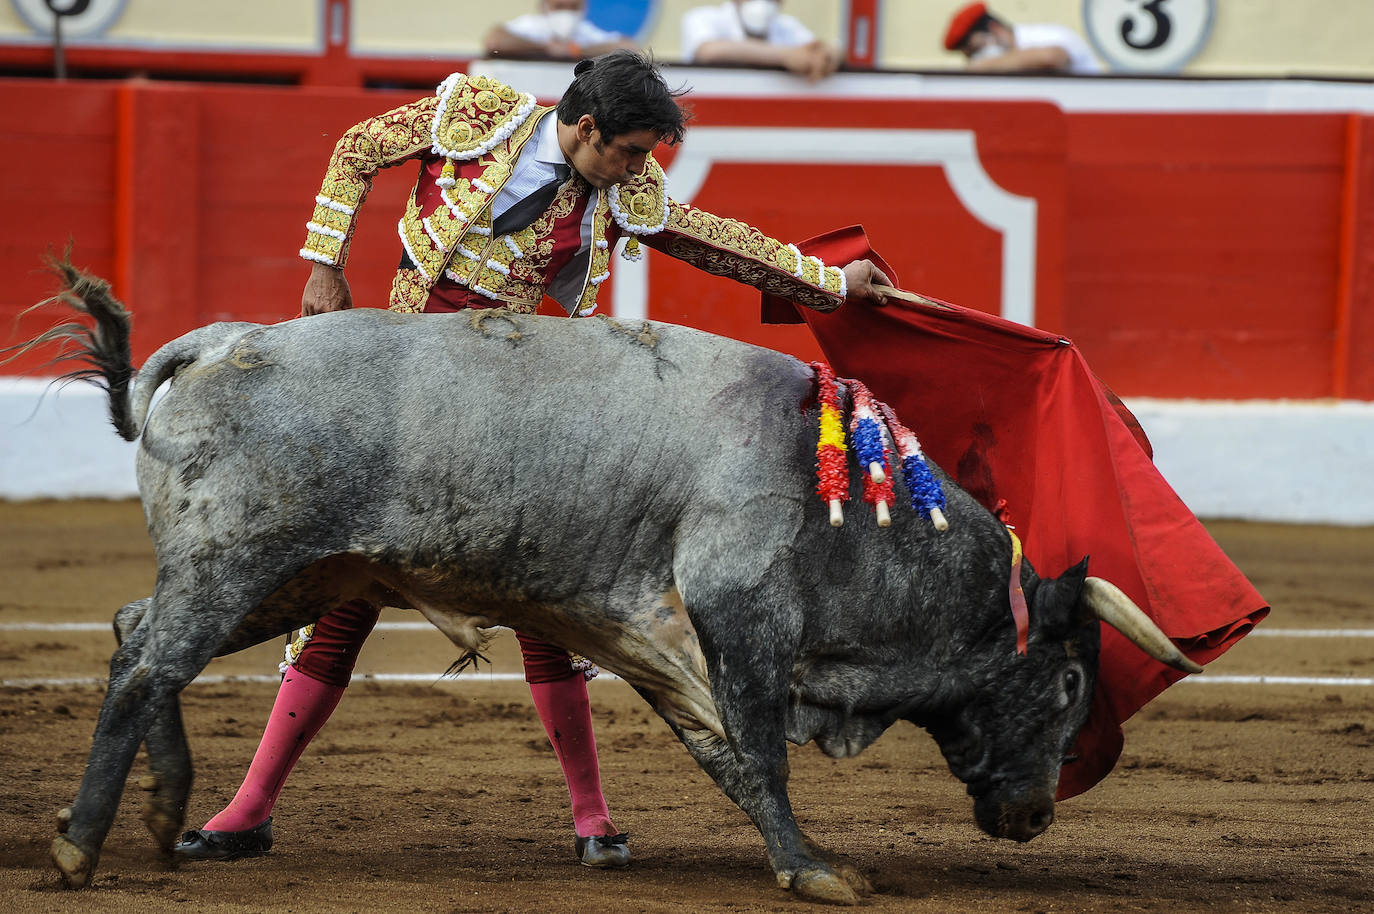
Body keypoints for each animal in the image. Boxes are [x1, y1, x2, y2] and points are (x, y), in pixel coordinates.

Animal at [26, 265, 1198, 907]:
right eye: (1068, 686)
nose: (1036, 814)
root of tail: (227, 340)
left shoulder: (656, 635)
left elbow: (723, 751)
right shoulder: (740, 613)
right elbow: (760, 749)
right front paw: (812, 868)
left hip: (286, 577)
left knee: (138, 635)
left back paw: (166, 813)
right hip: (243, 562)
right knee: (146, 665)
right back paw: (80, 846)